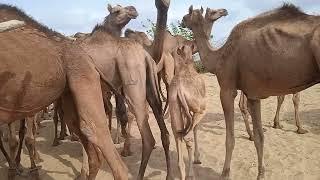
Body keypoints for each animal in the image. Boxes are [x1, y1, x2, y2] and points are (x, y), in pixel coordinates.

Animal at [0, 3, 129, 180]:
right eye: (117, 11)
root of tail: (88, 59)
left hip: (83, 79)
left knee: (99, 135)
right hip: (70, 95)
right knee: (90, 144)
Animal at [169, 44, 206, 180]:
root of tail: (179, 89)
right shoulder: (196, 111)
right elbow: (196, 128)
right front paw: (197, 159)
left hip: (174, 108)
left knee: (177, 134)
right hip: (200, 110)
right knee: (188, 137)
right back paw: (191, 174)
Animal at [182, 3, 320, 179]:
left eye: (188, 14)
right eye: (213, 11)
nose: (181, 20)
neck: (219, 58)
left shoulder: (227, 89)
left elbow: (230, 139)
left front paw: (225, 173)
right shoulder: (253, 95)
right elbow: (260, 137)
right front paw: (261, 174)